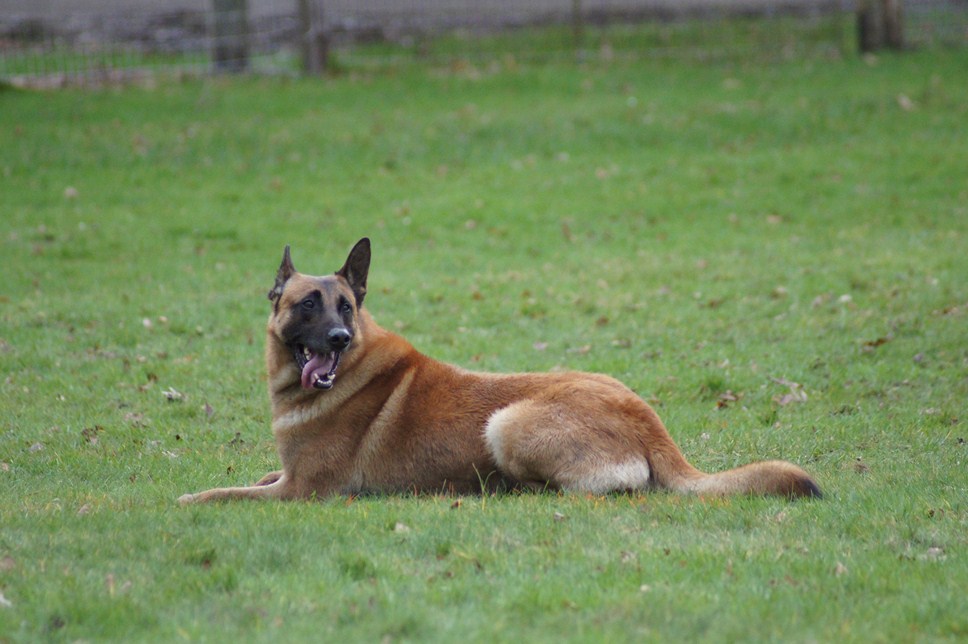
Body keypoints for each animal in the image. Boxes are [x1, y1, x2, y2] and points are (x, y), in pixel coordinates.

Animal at [178, 239, 820, 506]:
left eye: (347, 308)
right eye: (308, 305)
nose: (337, 339)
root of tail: (650, 423)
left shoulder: (302, 492)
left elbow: (223, 494)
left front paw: (187, 499)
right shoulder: (286, 476)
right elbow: (258, 475)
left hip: (506, 423)